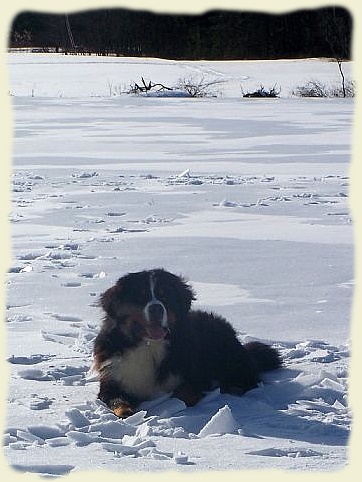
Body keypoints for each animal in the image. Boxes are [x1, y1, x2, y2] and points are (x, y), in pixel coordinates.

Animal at [92, 268, 280, 418]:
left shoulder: (195, 378)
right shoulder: (112, 380)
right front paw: (127, 411)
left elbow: (182, 394)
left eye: (165, 296)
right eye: (140, 296)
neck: (149, 346)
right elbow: (118, 401)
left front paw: (167, 407)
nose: (156, 308)